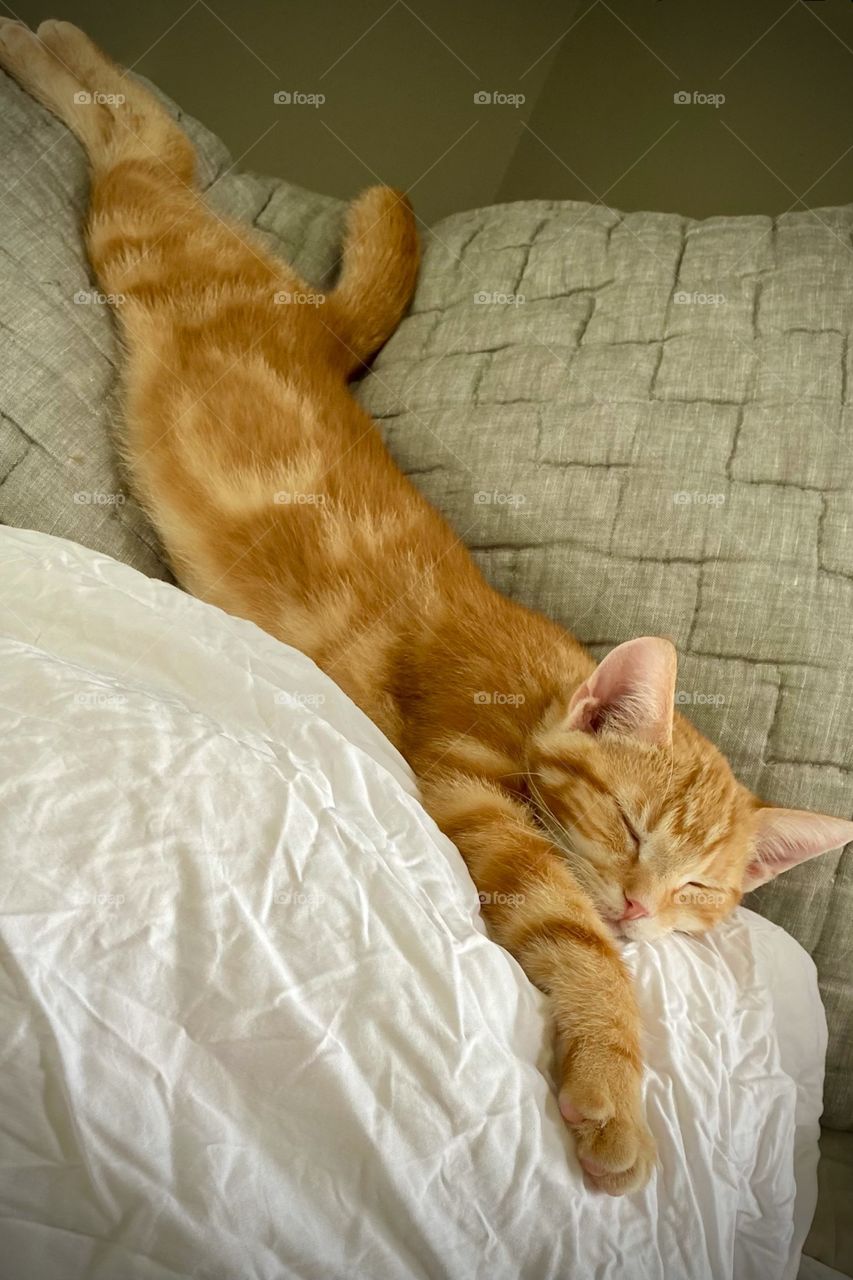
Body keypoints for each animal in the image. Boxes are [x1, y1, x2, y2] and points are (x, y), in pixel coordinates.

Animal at [3, 17, 845, 1198]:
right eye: (629, 829)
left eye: (695, 891)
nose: (639, 906)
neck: (538, 692)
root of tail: (315, 325)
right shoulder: (469, 790)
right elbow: (573, 936)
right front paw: (614, 1089)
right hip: (136, 241)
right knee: (144, 143)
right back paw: (39, 40)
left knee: (151, 142)